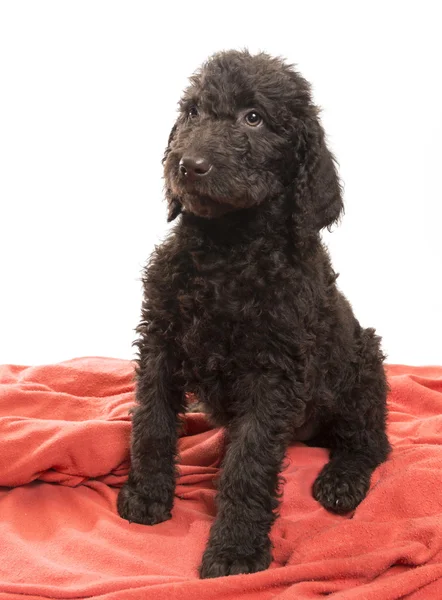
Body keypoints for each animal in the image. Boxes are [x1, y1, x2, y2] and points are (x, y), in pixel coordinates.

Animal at [117, 50, 390, 576]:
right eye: (194, 112)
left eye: (254, 118)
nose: (188, 165)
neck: (227, 251)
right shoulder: (160, 342)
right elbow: (152, 423)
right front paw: (146, 497)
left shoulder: (273, 372)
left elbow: (249, 462)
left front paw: (235, 551)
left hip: (363, 365)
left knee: (371, 443)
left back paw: (342, 481)